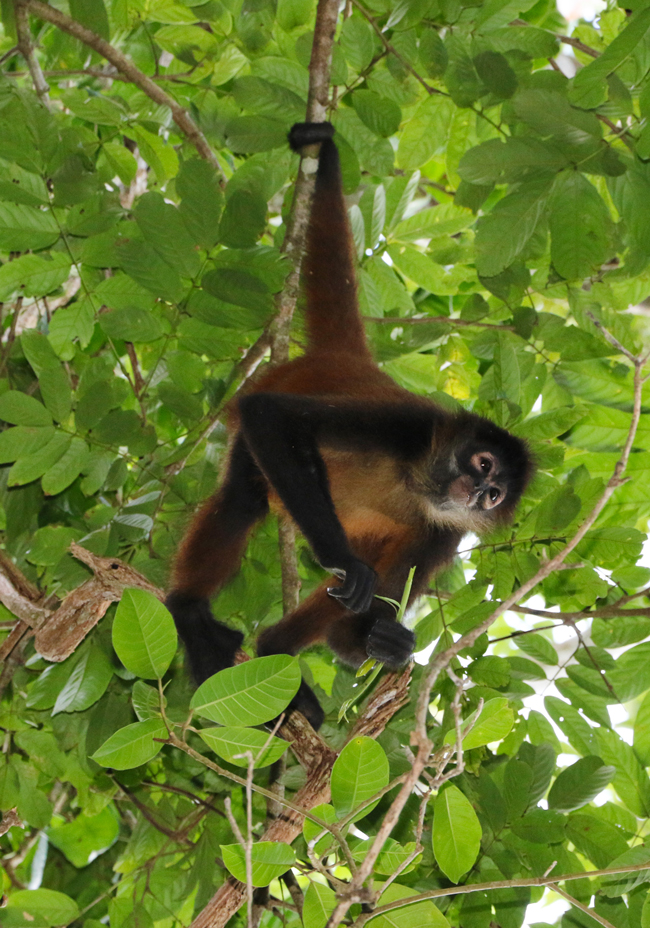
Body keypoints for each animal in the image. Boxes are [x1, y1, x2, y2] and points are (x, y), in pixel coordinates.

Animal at [166, 121, 533, 730]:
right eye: (482, 463)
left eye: (493, 496)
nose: (474, 488)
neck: (416, 483)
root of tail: (350, 361)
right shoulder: (410, 425)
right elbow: (271, 417)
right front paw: (340, 560)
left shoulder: (445, 533)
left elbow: (358, 617)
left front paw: (384, 644)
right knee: (246, 496)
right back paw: (192, 611)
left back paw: (277, 656)